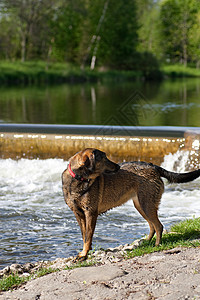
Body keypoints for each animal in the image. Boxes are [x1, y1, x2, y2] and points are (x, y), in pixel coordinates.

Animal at [62, 148, 200, 260]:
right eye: (104, 158)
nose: (118, 166)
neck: (78, 179)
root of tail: (153, 166)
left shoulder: (91, 213)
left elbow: (88, 236)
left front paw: (84, 255)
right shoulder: (79, 214)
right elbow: (84, 236)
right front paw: (84, 252)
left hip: (146, 204)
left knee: (158, 226)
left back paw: (156, 245)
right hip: (141, 206)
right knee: (152, 226)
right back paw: (145, 242)